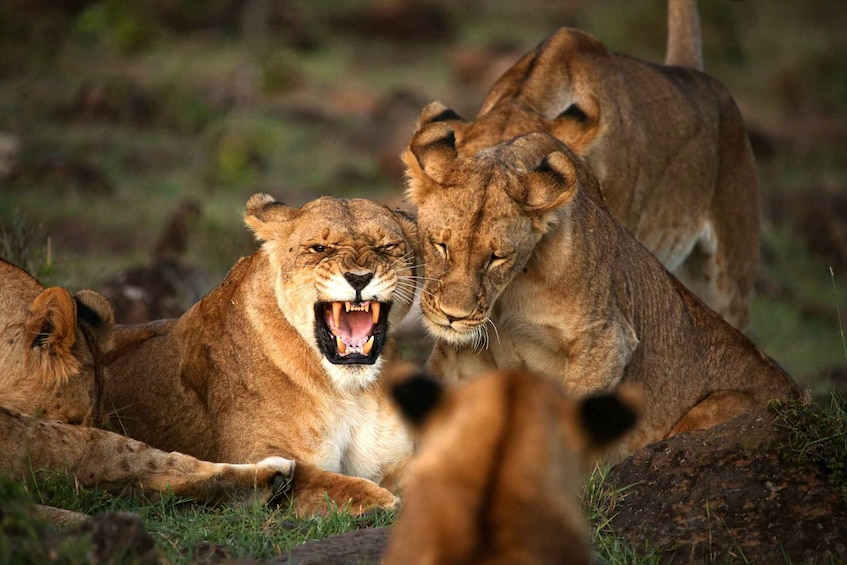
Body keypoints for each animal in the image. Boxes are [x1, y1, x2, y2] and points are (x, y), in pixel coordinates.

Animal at [101, 194, 420, 514]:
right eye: (319, 248)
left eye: (386, 246)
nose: (359, 278)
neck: (349, 391)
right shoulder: (257, 452)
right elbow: (324, 482)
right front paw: (381, 500)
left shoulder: (398, 460)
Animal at [402, 125, 799, 459]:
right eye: (440, 246)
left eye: (496, 258)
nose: (453, 315)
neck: (509, 294)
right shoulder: (462, 356)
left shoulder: (607, 340)